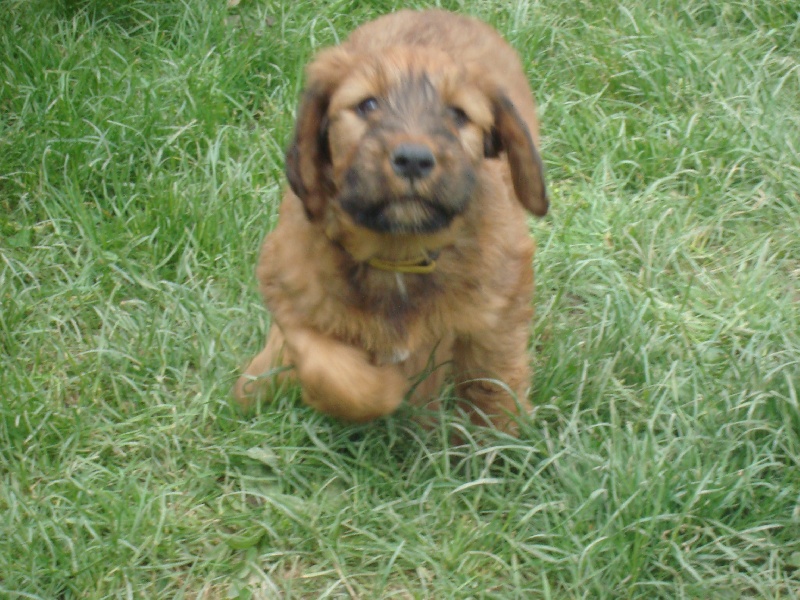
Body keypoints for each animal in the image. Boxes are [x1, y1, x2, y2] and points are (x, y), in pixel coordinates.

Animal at [234, 9, 548, 434]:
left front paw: (500, 441)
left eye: (458, 114)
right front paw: (383, 387)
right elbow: (329, 369)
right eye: (367, 104)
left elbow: (492, 383)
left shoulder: (498, 312)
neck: (399, 255)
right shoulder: (289, 286)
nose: (413, 159)